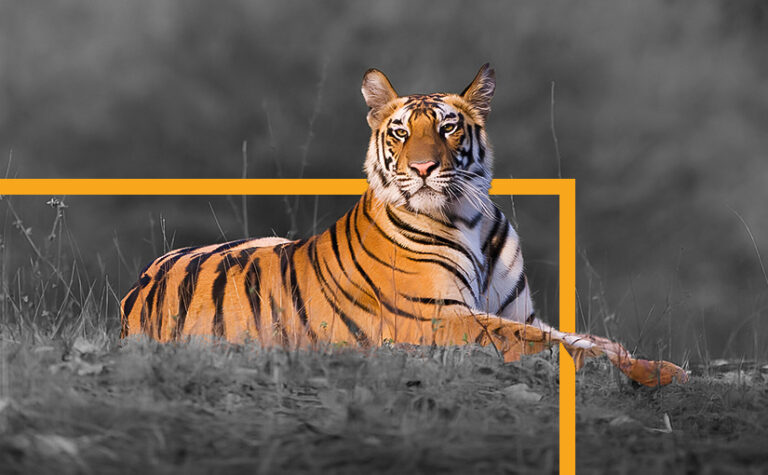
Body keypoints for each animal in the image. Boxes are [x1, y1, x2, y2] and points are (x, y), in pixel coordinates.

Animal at [120, 64, 687, 387]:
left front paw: (650, 364)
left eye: (448, 126)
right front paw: (650, 372)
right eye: (399, 131)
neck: (470, 218)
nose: (422, 167)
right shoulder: (441, 318)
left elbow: (582, 336)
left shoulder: (517, 311)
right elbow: (553, 344)